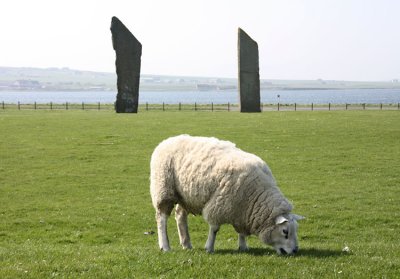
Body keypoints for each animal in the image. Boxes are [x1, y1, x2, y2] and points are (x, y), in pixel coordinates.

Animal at [150, 136, 304, 256]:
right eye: (285, 232)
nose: (295, 250)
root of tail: (167, 141)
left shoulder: (242, 210)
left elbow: (241, 232)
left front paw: (243, 246)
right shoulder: (219, 204)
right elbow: (214, 229)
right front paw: (209, 247)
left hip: (186, 196)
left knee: (180, 215)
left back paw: (186, 243)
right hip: (163, 189)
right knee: (161, 218)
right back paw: (165, 246)